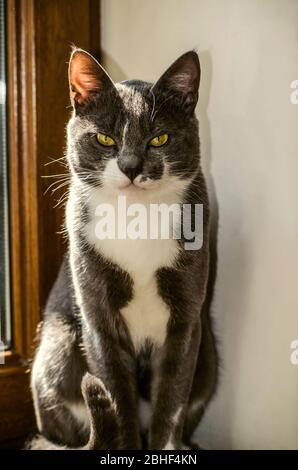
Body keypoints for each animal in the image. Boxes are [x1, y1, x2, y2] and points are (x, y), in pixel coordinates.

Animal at [29, 47, 218, 452]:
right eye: (104, 138)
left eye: (160, 139)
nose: (131, 166)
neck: (136, 216)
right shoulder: (98, 320)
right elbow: (117, 396)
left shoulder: (187, 320)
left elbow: (172, 397)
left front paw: (167, 447)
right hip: (58, 343)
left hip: (209, 353)